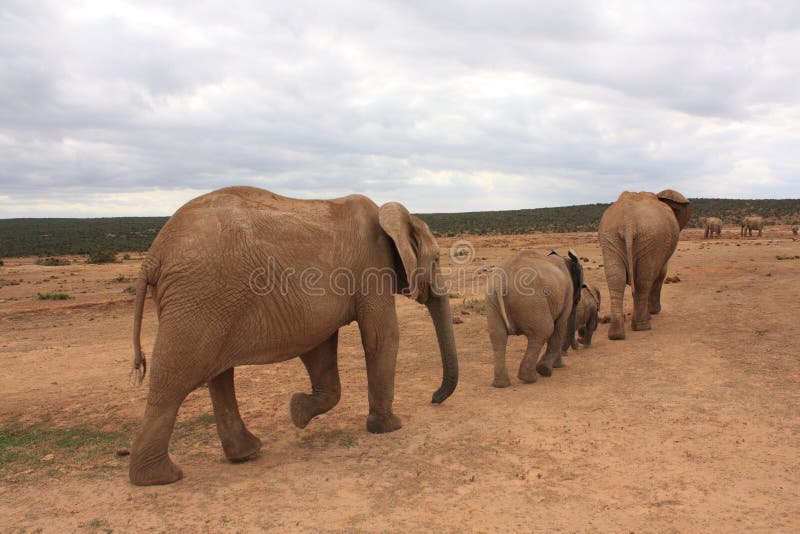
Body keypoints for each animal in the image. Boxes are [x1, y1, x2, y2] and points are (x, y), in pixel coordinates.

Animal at [128, 186, 460, 488]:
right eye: (437, 259)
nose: (433, 398)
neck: (388, 217)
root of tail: (153, 256)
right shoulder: (371, 266)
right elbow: (382, 336)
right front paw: (389, 428)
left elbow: (320, 348)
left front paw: (297, 413)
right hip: (199, 298)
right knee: (174, 381)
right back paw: (160, 478)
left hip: (207, 300)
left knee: (218, 376)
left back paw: (245, 454)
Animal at [484, 249, 584, 392]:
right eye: (581, 286)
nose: (578, 345)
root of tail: (502, 282)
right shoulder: (568, 293)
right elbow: (559, 327)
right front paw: (550, 369)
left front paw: (557, 366)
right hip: (531, 299)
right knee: (545, 330)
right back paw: (531, 377)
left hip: (492, 300)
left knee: (498, 336)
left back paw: (501, 384)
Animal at [596, 191, 692, 342]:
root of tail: (628, 222)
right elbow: (660, 274)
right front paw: (653, 312)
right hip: (650, 239)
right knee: (644, 280)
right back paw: (642, 326)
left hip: (610, 237)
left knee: (616, 279)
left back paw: (616, 335)